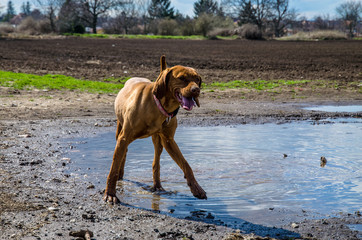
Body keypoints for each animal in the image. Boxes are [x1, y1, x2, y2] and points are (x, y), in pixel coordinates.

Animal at [103, 55, 208, 202]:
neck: (160, 106)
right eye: (182, 78)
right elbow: (113, 168)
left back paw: (157, 186)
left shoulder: (169, 141)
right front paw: (110, 194)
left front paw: (197, 188)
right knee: (123, 152)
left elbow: (186, 165)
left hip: (158, 141)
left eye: (197, 79)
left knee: (156, 163)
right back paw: (120, 174)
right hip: (120, 129)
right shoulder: (124, 137)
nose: (196, 90)